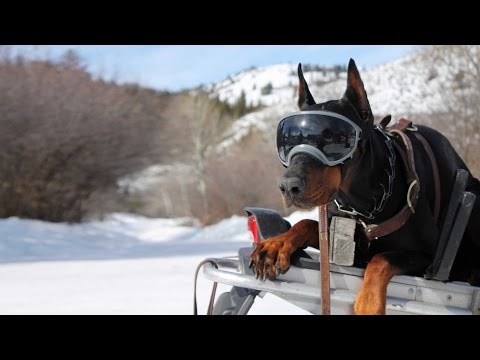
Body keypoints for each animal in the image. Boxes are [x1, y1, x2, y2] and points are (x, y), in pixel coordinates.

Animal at [249, 59, 480, 316]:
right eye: (287, 141)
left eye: (333, 138)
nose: (289, 187)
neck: (361, 205)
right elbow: (307, 223)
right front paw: (276, 244)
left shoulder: (429, 255)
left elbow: (382, 258)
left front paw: (369, 302)